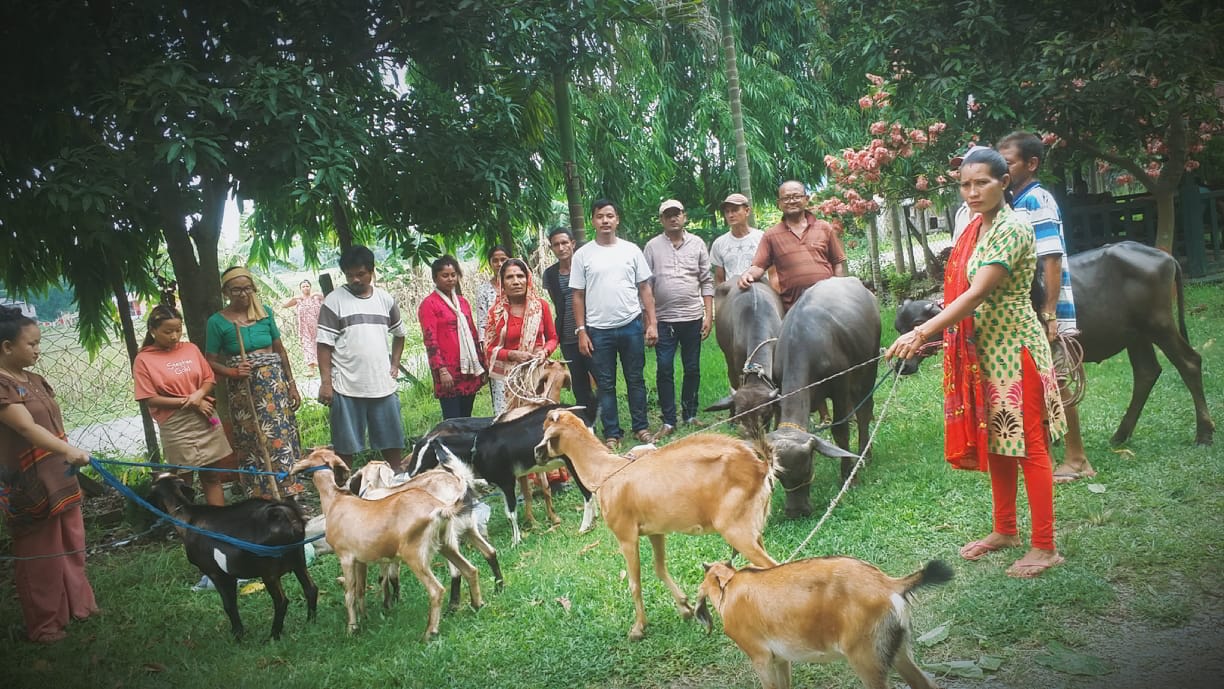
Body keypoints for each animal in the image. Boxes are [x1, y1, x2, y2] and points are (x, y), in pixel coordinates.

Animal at [148, 474, 318, 641]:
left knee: (281, 601)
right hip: (298, 560)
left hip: (269, 572)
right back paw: (310, 622)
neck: (187, 518)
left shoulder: (217, 573)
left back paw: (273, 636)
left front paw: (237, 635)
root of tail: (284, 514)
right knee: (311, 589)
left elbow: (229, 605)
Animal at [695, 560, 949, 689]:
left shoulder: (760, 658)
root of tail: (889, 585)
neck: (730, 585)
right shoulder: (781, 658)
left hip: (866, 657)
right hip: (896, 650)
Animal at [768, 275, 876, 518]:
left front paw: (849, 476)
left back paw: (864, 455)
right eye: (779, 475)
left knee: (865, 411)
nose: (796, 511)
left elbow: (841, 430)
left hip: (868, 368)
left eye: (808, 467)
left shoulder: (840, 386)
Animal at [900, 242, 1214, 447]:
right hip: (1135, 335)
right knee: (1147, 372)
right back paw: (1120, 435)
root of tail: (1165, 257)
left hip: (1159, 325)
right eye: (898, 328)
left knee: (1189, 362)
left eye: (917, 325)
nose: (903, 366)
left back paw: (1204, 434)